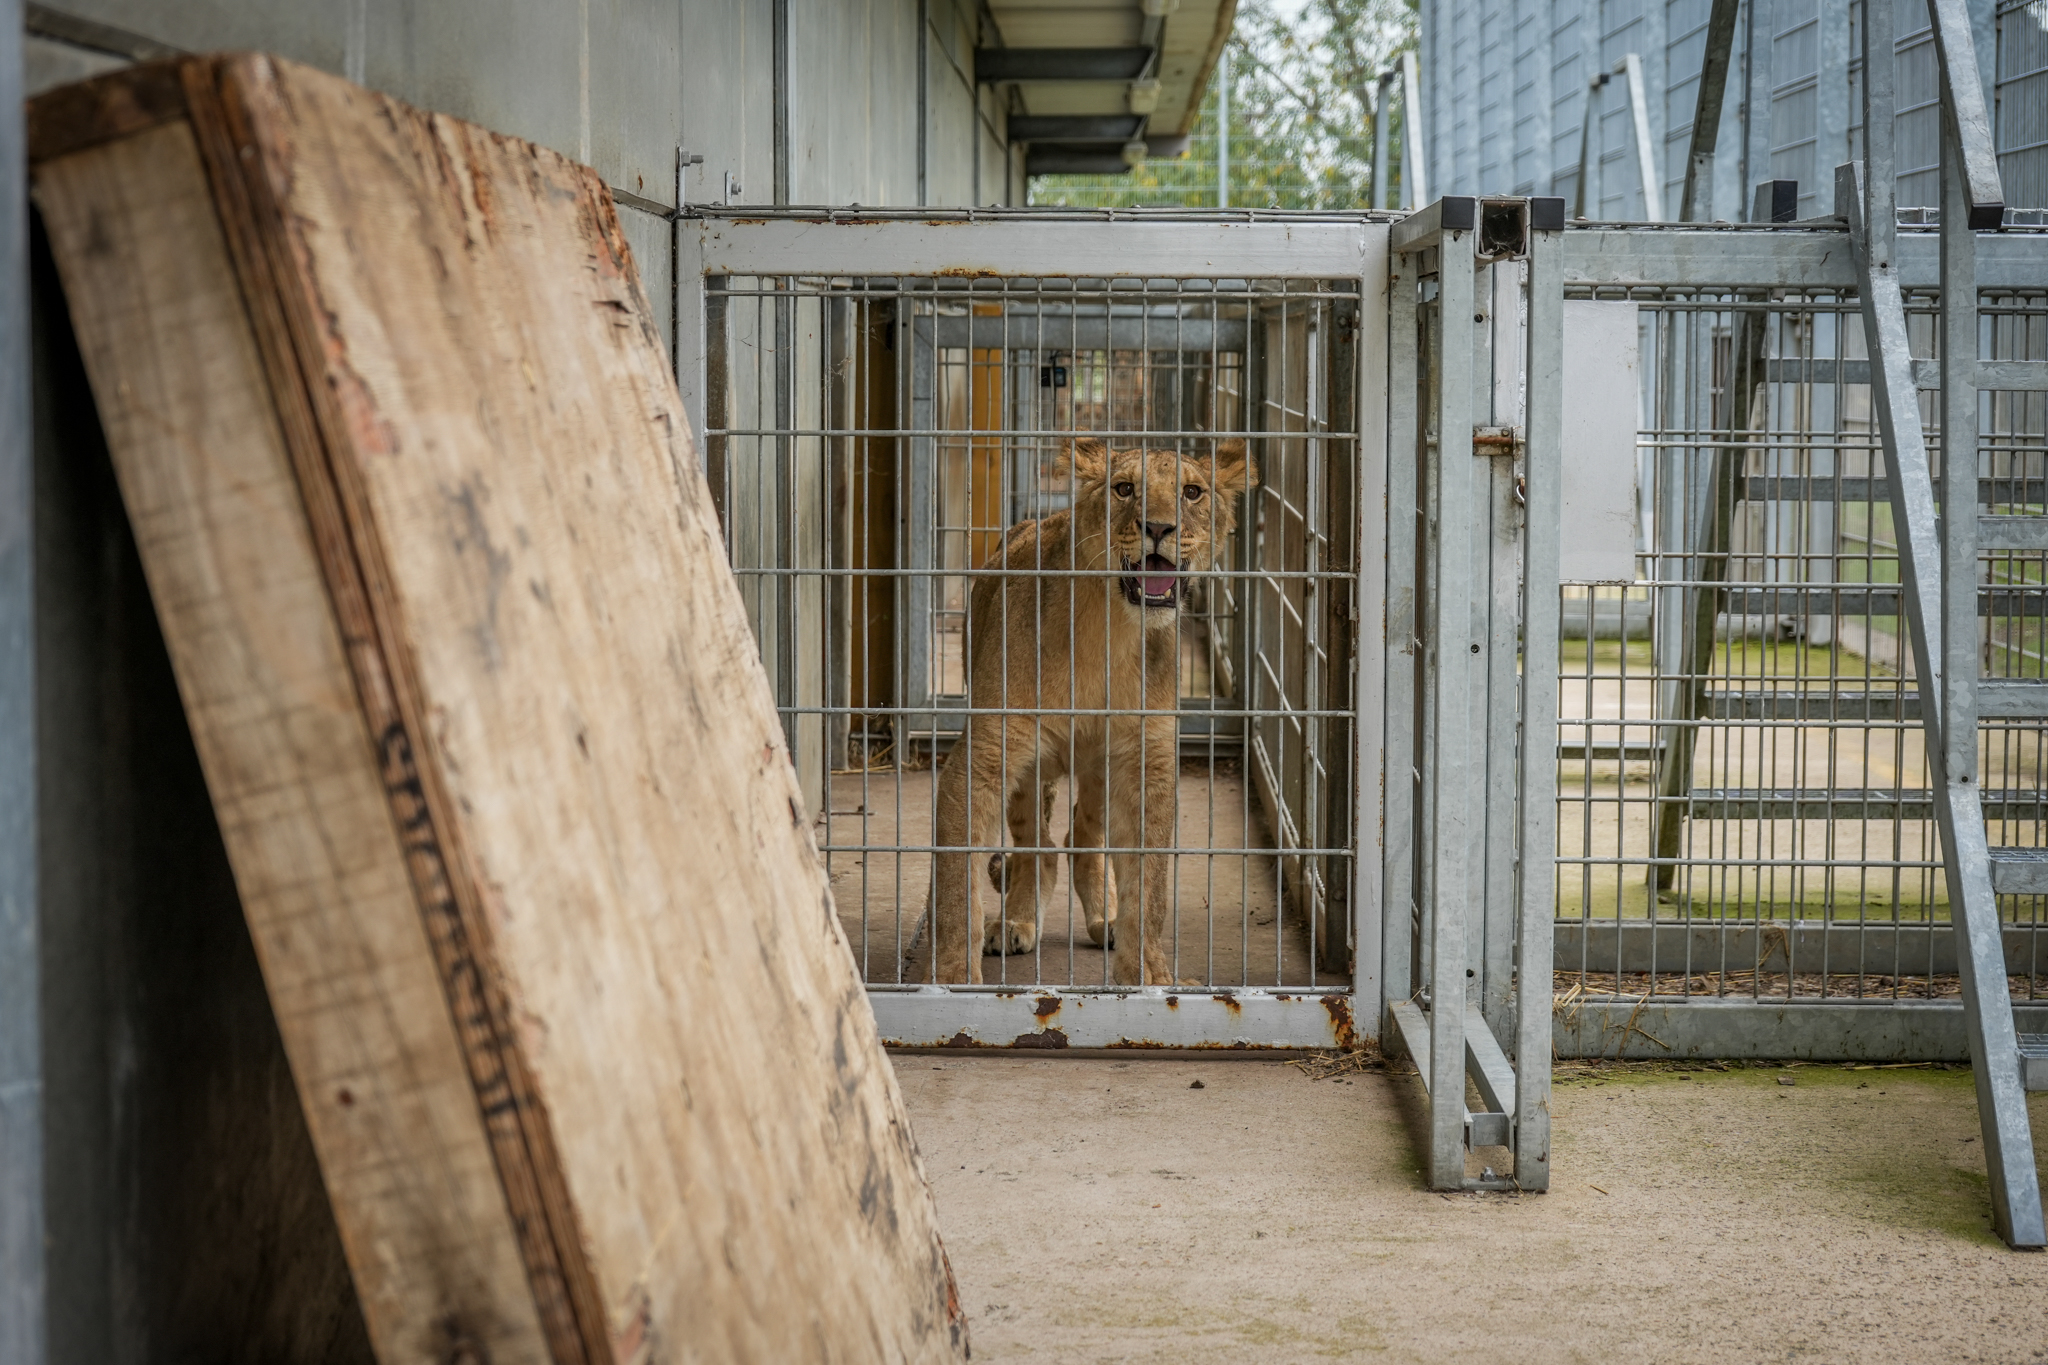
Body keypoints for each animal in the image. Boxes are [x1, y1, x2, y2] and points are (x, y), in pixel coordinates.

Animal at [925, 436, 1255, 985]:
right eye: (1124, 489)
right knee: (1039, 846)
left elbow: (1149, 885)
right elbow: (956, 885)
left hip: (1102, 765)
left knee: (1083, 834)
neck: (1111, 631)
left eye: (1192, 492)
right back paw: (1015, 922)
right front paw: (954, 978)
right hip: (1033, 768)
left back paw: (1107, 917)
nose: (1158, 528)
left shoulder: (1147, 763)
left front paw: (1148, 974)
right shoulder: (984, 758)